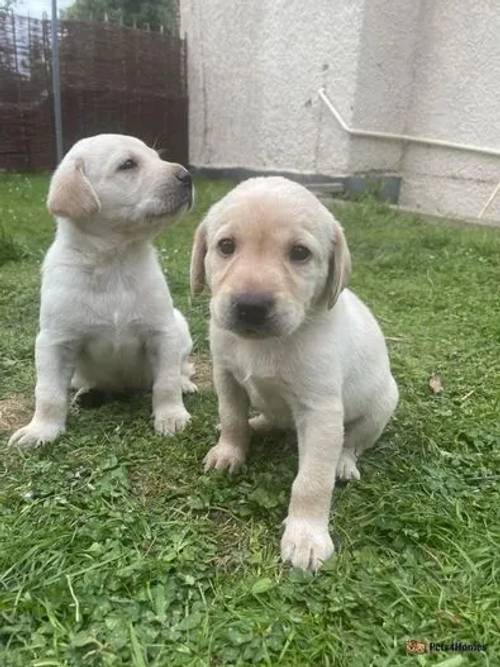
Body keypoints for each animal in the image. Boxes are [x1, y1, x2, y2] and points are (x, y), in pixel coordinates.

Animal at [8, 134, 195, 452]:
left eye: (157, 156)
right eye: (128, 164)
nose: (187, 176)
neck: (114, 261)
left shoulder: (163, 332)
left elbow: (166, 381)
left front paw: (171, 416)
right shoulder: (54, 341)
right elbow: (48, 392)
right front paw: (41, 430)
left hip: (179, 325)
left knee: (178, 367)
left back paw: (185, 383)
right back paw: (87, 393)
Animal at [190, 179, 398, 576]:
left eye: (300, 253)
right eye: (226, 246)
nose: (251, 306)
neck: (265, 345)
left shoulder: (321, 411)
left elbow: (312, 481)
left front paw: (306, 536)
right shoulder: (226, 375)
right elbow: (231, 417)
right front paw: (229, 450)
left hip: (383, 404)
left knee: (354, 441)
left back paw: (343, 462)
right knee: (268, 419)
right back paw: (257, 424)